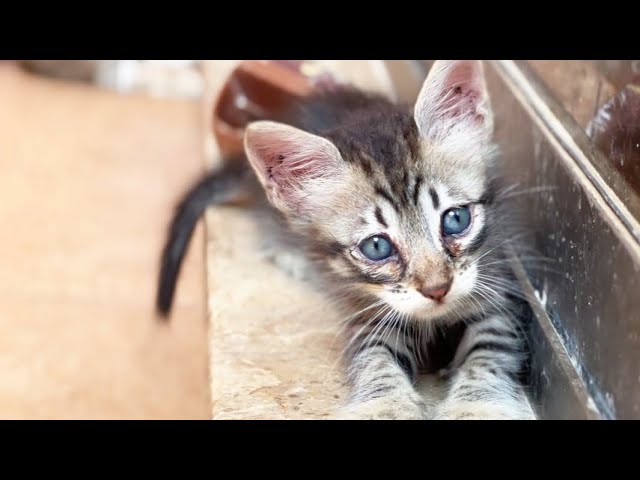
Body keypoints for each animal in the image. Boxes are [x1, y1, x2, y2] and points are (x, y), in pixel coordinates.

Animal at [158, 60, 536, 420]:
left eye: (456, 219)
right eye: (377, 246)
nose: (437, 289)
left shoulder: (498, 289)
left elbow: (490, 349)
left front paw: (477, 407)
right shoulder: (363, 310)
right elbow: (375, 359)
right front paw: (386, 408)